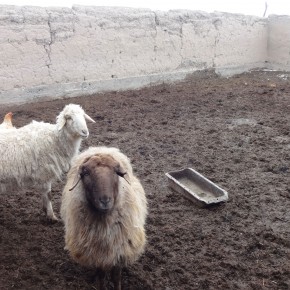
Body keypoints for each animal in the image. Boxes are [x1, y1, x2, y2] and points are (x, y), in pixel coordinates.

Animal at [60, 147, 147, 290]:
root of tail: (100, 148)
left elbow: (116, 277)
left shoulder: (119, 252)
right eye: (86, 173)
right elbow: (101, 276)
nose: (105, 200)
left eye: (116, 172)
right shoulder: (98, 254)